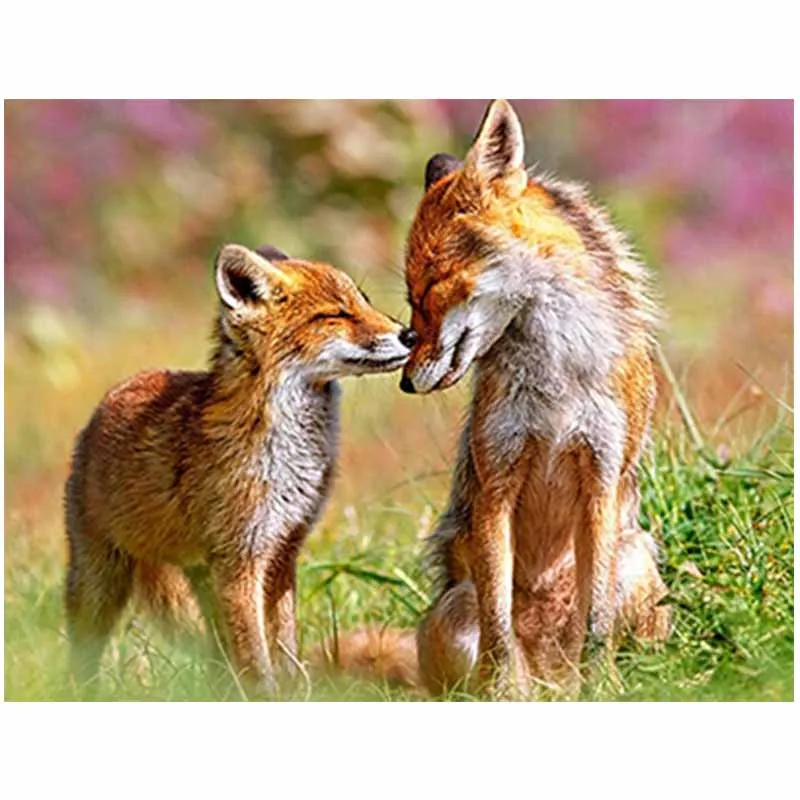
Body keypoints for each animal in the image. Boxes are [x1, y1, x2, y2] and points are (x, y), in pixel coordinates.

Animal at [64, 242, 413, 696]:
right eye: (335, 315)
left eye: (363, 301)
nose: (410, 334)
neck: (288, 456)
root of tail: (110, 397)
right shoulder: (241, 560)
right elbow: (255, 657)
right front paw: (266, 698)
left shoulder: (282, 550)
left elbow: (284, 647)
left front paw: (292, 695)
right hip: (100, 579)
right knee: (84, 649)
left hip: (201, 579)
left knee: (216, 655)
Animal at [321, 99, 670, 699]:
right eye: (410, 300)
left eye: (429, 289)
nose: (406, 383)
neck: (557, 375)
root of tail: (552, 681)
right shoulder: (496, 479)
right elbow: (499, 623)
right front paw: (504, 693)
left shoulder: (601, 476)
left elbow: (597, 620)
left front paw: (601, 689)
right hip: (454, 612)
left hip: (638, 561)